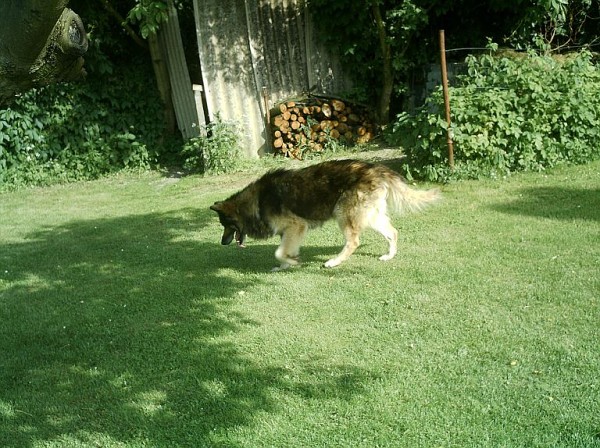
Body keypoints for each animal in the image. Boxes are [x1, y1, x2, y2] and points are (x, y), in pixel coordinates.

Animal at [211, 160, 440, 270]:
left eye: (225, 225)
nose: (222, 243)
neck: (255, 201)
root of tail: (376, 168)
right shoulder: (291, 231)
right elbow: (284, 251)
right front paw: (287, 264)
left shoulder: (296, 226)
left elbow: (278, 252)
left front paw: (292, 263)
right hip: (370, 216)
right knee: (393, 232)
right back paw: (389, 256)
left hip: (343, 214)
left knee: (353, 242)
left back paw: (334, 262)